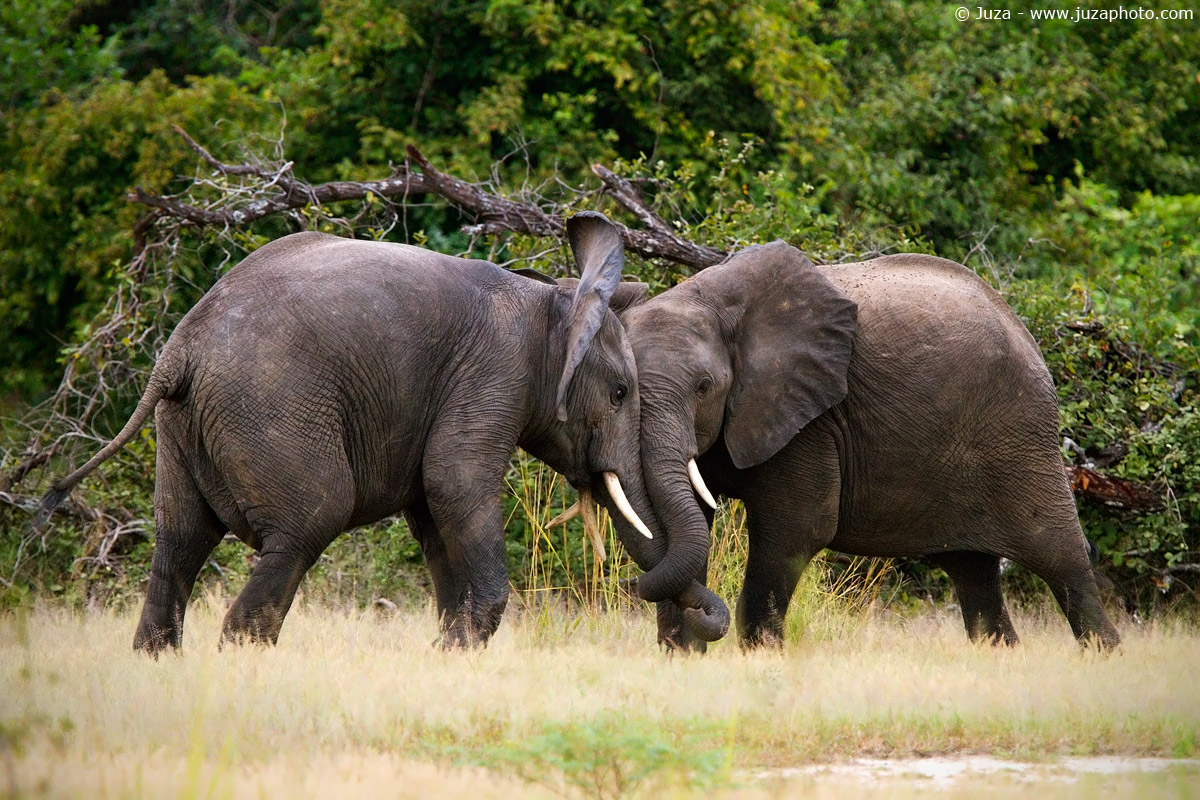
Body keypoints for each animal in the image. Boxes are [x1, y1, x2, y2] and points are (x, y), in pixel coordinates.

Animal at [35, 211, 729, 654]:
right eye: (620, 394)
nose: (702, 619)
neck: (551, 302)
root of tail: (177, 352)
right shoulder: (494, 372)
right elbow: (455, 485)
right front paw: (461, 649)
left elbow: (434, 514)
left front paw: (450, 652)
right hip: (270, 408)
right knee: (308, 520)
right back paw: (240, 659)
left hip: (180, 430)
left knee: (178, 540)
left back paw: (160, 659)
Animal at [615, 241, 1121, 651]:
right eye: (621, 391)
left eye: (704, 387)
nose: (631, 583)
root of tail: (1021, 326)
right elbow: (691, 526)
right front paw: (681, 656)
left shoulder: (811, 418)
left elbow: (795, 528)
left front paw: (759, 657)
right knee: (971, 571)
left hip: (1019, 432)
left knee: (1061, 556)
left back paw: (1104, 655)